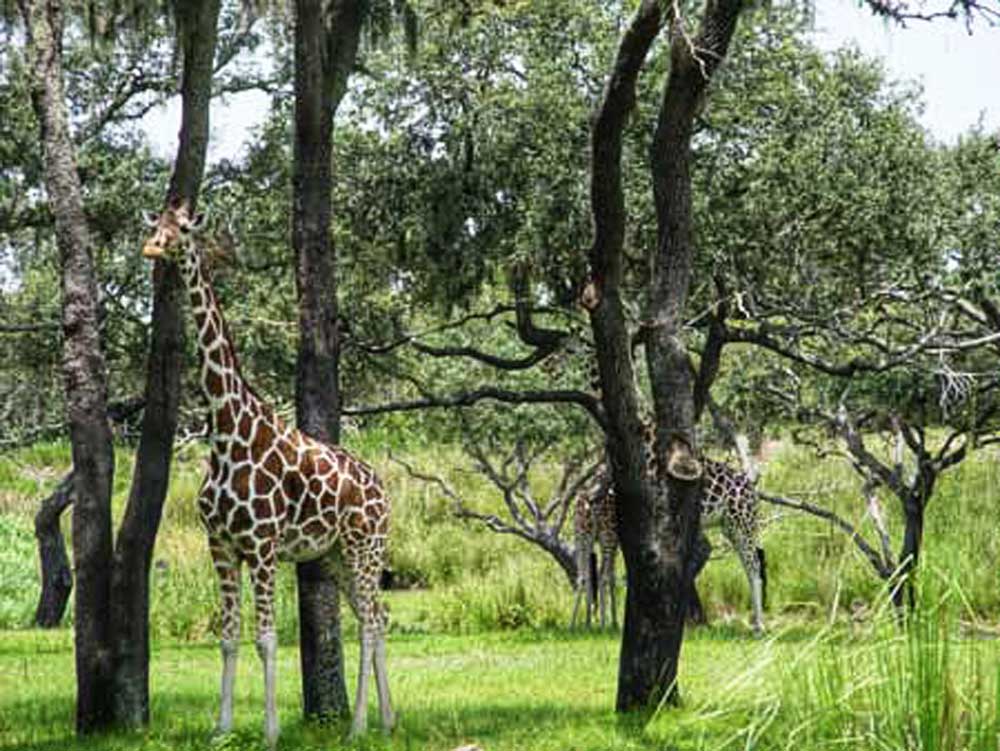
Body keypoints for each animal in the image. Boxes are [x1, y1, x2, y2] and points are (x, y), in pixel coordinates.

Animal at [141, 201, 394, 748]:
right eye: (156, 225)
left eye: (183, 229)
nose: (154, 247)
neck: (227, 431)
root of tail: (382, 489)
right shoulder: (220, 545)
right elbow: (229, 638)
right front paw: (221, 729)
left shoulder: (261, 547)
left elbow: (267, 638)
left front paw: (271, 731)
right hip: (335, 556)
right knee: (378, 616)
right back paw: (387, 720)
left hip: (366, 546)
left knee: (368, 622)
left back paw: (358, 726)